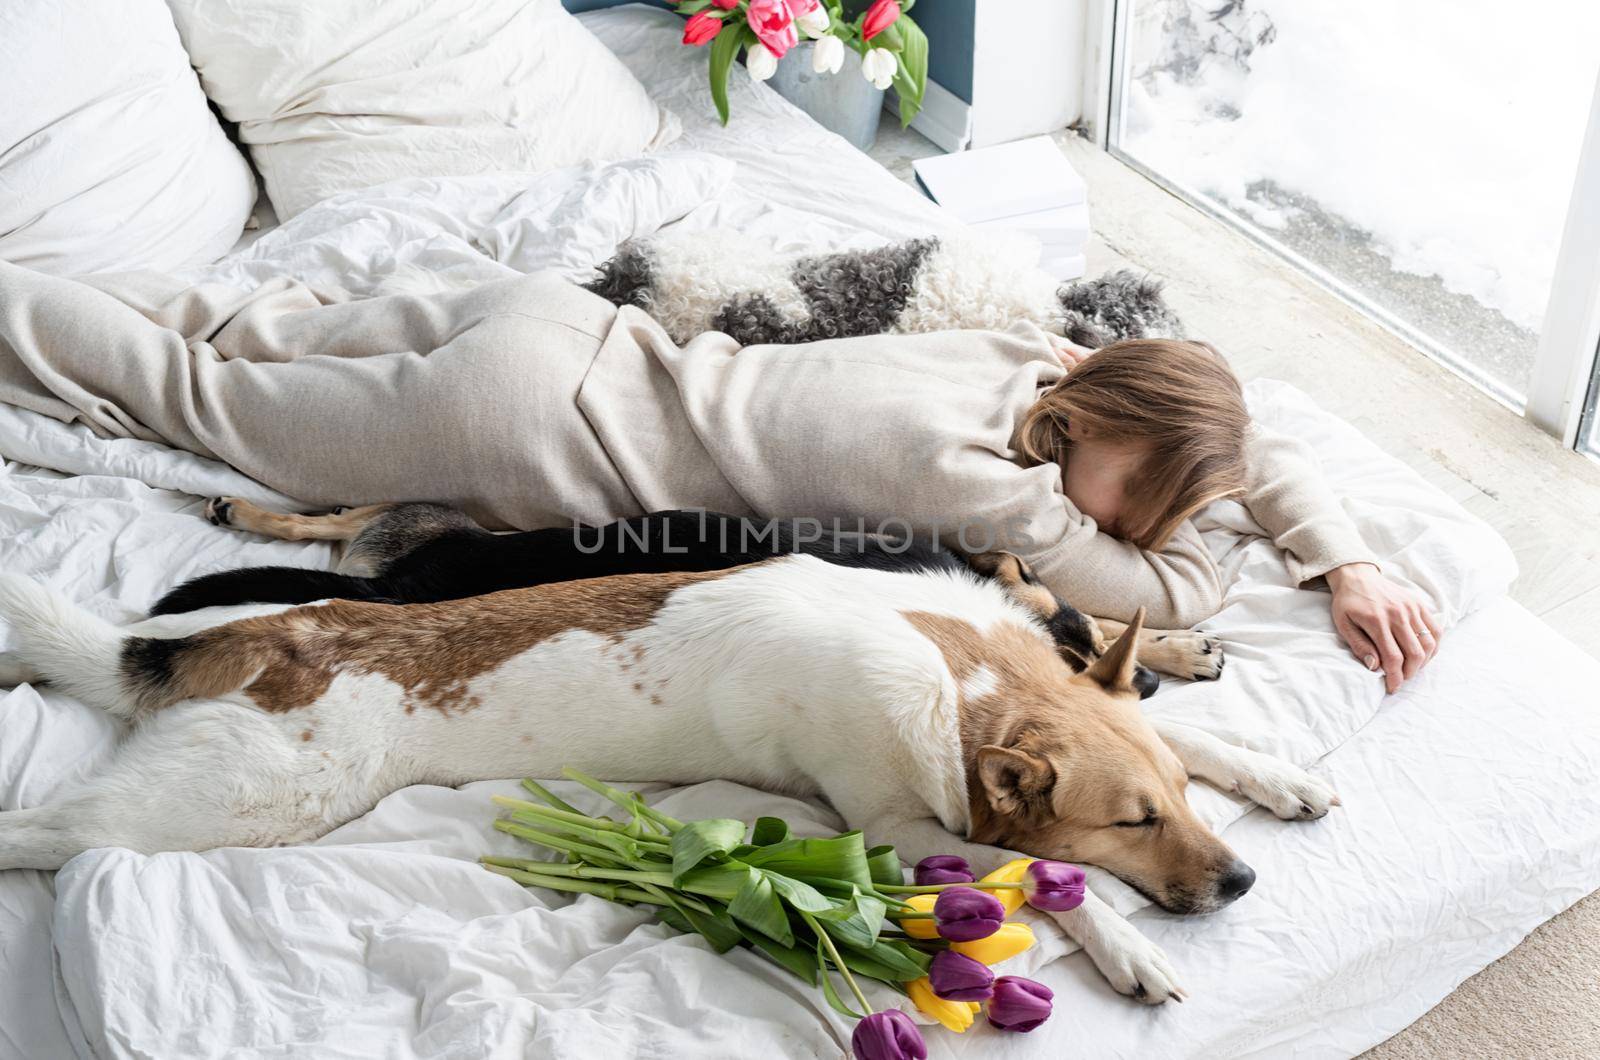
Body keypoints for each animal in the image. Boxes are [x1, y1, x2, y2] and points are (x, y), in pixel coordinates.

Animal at [0, 541, 1331, 1005]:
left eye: (1176, 804)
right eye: (1130, 822)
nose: (1245, 886)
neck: (958, 676)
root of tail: (256, 637)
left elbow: (1197, 732)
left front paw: (1273, 772)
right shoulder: (896, 822)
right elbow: (1060, 885)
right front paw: (1133, 946)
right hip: (225, 803)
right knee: (37, 830)